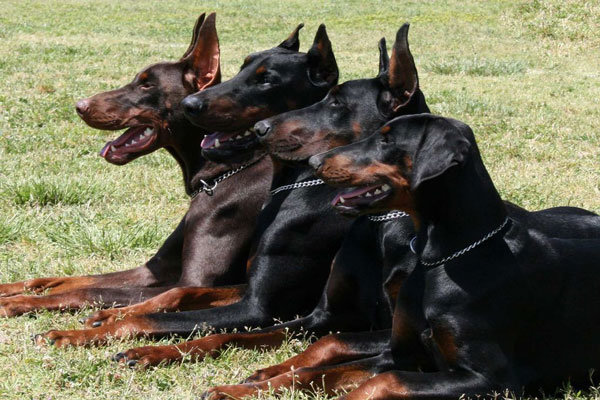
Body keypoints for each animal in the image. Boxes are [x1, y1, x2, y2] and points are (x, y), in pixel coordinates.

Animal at [0, 14, 270, 318]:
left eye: (147, 85)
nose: (80, 106)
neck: (220, 175)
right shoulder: (151, 270)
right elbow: (67, 280)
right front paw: (12, 289)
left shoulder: (194, 282)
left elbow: (86, 290)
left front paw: (16, 302)